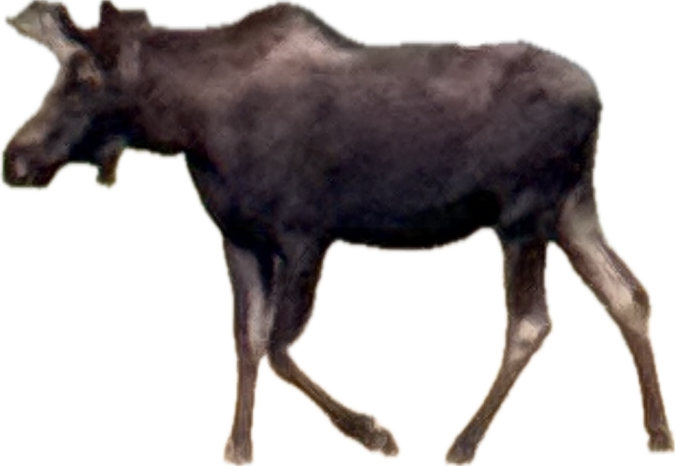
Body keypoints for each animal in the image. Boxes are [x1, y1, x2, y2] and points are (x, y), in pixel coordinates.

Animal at [2, 0, 673, 464]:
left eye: (87, 78)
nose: (16, 157)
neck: (189, 120)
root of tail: (597, 98)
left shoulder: (305, 234)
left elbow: (276, 347)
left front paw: (374, 432)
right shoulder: (240, 239)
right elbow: (246, 341)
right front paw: (238, 449)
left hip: (524, 217)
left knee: (533, 322)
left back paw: (462, 444)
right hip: (572, 209)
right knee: (629, 295)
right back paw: (659, 433)